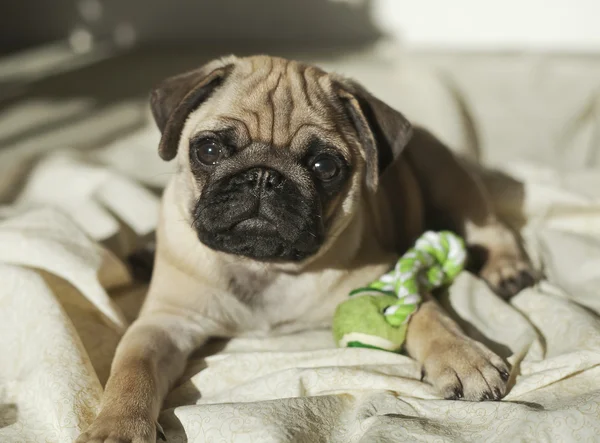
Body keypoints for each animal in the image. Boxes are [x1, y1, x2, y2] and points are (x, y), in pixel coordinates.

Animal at [78, 55, 536, 443]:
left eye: (326, 166)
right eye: (207, 150)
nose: (264, 177)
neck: (263, 267)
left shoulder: (384, 280)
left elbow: (429, 316)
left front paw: (462, 357)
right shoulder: (163, 324)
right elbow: (132, 371)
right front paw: (117, 427)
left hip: (449, 182)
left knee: (494, 229)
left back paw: (508, 269)